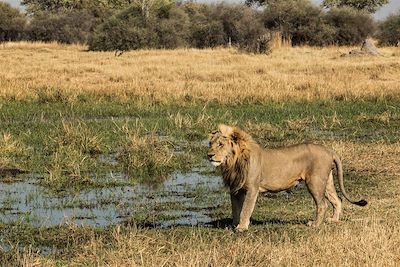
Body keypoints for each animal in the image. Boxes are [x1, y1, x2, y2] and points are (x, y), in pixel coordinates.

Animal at [208, 124, 368, 231]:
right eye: (210, 143)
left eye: (220, 145)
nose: (209, 155)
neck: (232, 163)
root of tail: (329, 150)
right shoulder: (235, 188)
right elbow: (235, 209)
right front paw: (233, 225)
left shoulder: (252, 188)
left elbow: (246, 209)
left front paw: (241, 227)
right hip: (326, 181)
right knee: (337, 199)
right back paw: (333, 220)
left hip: (314, 182)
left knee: (322, 204)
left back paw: (315, 224)